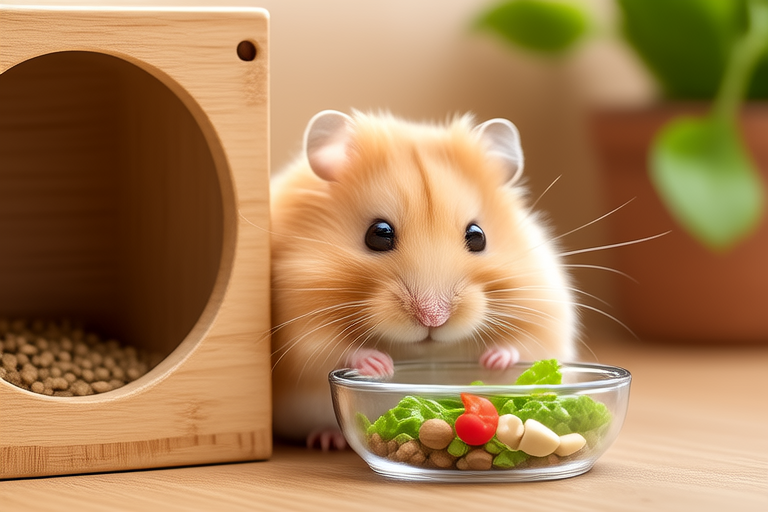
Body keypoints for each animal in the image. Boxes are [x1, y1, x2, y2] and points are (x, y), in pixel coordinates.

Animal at [270, 110, 577, 450]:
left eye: (478, 236)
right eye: (378, 234)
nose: (434, 318)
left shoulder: (544, 310)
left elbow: (524, 347)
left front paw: (496, 360)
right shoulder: (295, 327)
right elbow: (326, 350)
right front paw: (381, 365)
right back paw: (329, 439)